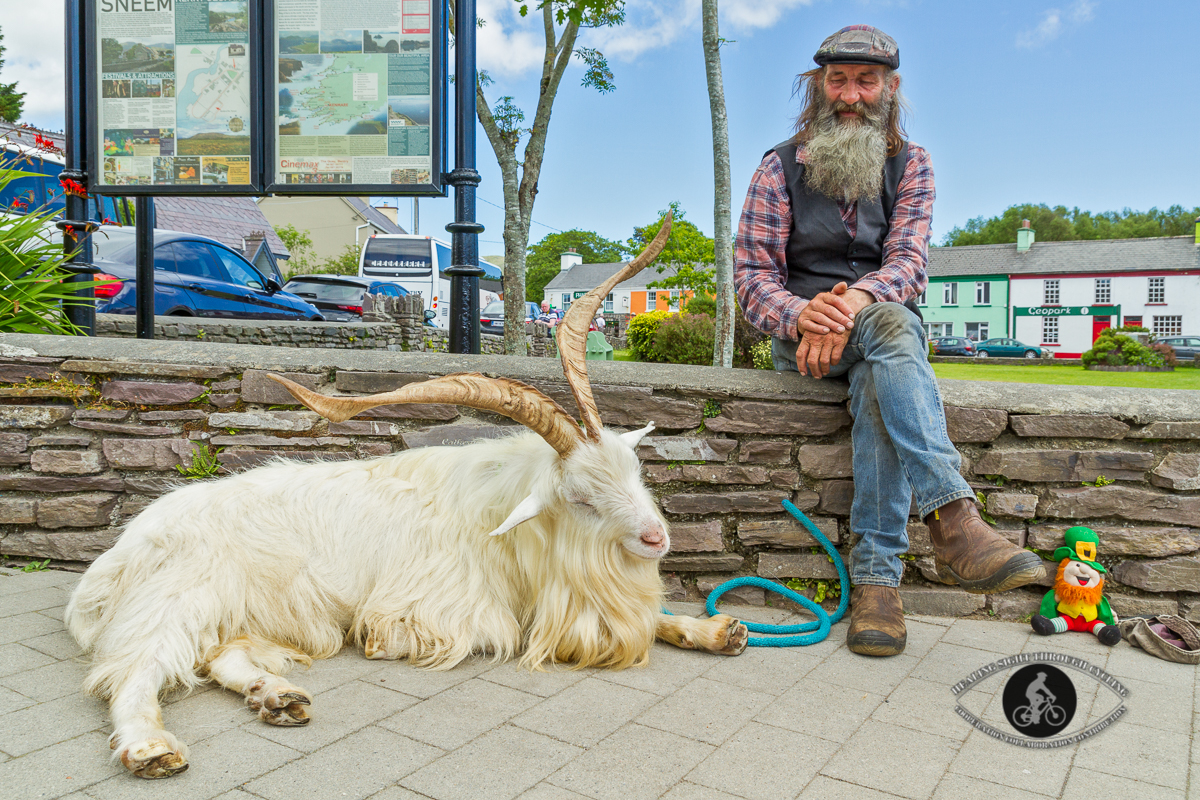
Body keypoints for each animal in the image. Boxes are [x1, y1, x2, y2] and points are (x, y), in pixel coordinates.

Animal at [63, 214, 748, 782]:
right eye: (579, 498)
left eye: (634, 469)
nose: (657, 539)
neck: (503, 521)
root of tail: (115, 560)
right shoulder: (427, 612)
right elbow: (497, 629)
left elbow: (652, 617)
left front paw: (718, 631)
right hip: (178, 597)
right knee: (135, 668)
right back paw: (150, 746)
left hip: (253, 612)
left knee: (217, 656)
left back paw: (276, 697)